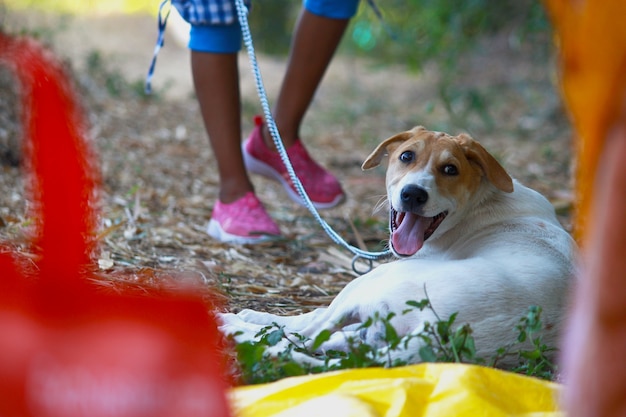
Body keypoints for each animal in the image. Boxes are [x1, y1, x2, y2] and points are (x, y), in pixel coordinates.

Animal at [217, 125, 572, 366]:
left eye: (451, 169)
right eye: (406, 157)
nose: (413, 194)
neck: (480, 203)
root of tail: (438, 329)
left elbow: (306, 319)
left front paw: (250, 317)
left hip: (370, 283)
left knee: (305, 332)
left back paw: (234, 325)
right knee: (327, 343)